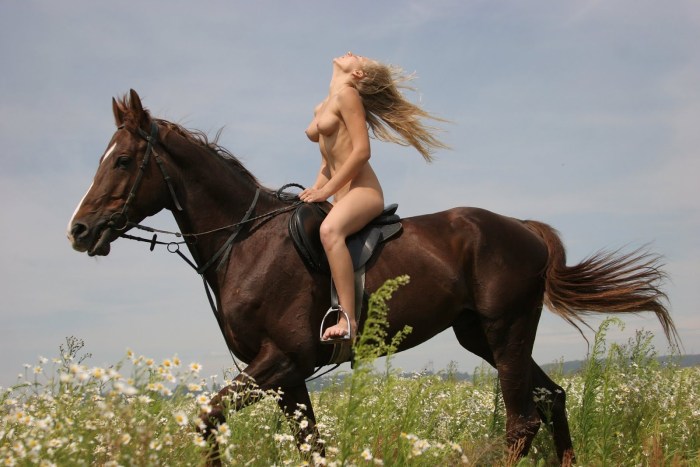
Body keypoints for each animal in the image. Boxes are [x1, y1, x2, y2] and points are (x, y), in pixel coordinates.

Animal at [67, 89, 677, 465]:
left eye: (122, 161)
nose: (78, 230)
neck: (246, 242)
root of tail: (524, 230)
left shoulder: (280, 361)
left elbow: (208, 417)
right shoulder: (287, 378)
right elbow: (310, 445)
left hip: (506, 332)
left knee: (522, 420)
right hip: (481, 335)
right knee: (552, 399)